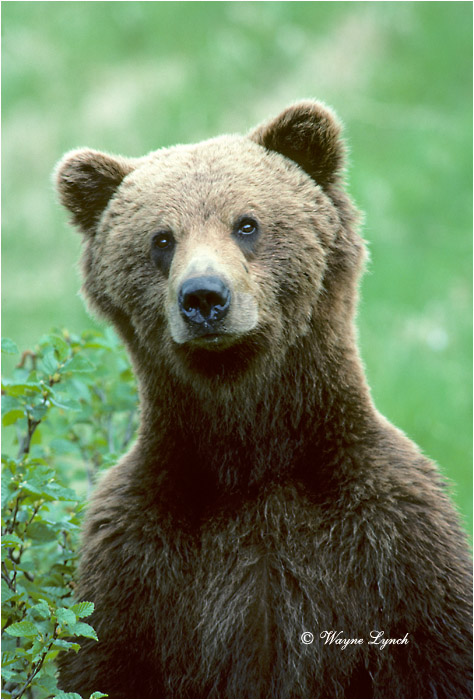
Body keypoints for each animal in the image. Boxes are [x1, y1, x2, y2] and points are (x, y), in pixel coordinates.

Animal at [55, 100, 472, 699]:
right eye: (162, 238)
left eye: (246, 223)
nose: (204, 297)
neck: (253, 454)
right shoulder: (136, 563)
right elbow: (99, 661)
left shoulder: (394, 547)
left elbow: (436, 651)